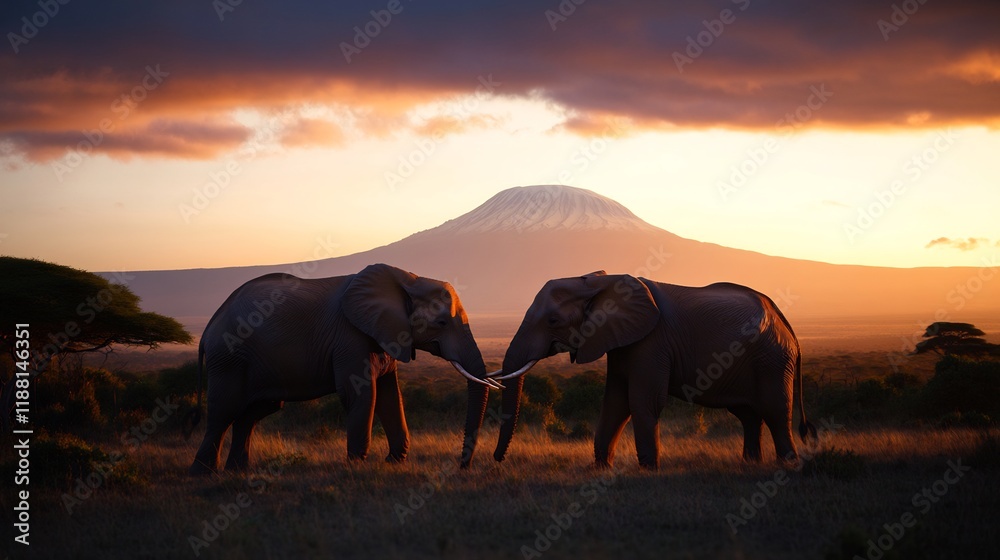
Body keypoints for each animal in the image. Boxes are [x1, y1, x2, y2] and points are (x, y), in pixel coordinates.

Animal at [188, 263, 498, 475]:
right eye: (442, 323)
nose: (462, 466)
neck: (408, 279)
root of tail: (209, 326)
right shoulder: (350, 337)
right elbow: (360, 394)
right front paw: (357, 465)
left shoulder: (385, 333)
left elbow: (390, 396)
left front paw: (393, 462)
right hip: (229, 356)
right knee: (224, 411)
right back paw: (204, 473)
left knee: (254, 412)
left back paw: (237, 471)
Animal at [478, 271, 816, 470]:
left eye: (552, 321)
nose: (496, 460)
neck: (598, 282)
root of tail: (787, 324)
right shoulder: (618, 341)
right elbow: (615, 402)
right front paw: (602, 468)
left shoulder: (651, 341)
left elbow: (643, 401)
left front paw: (648, 470)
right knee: (748, 415)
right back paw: (750, 464)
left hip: (772, 359)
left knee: (775, 410)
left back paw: (787, 464)